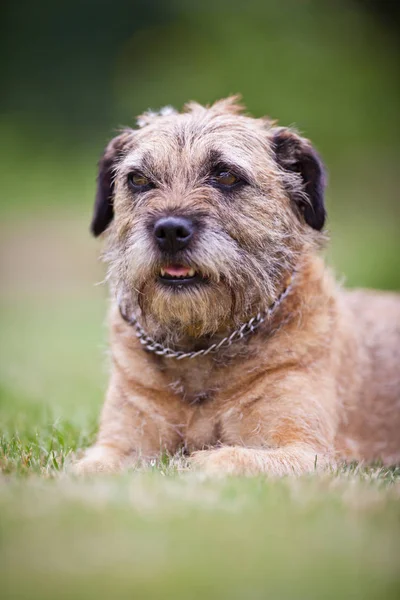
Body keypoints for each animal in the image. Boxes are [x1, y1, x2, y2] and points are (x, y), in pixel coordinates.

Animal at [73, 96, 398, 476]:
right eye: (138, 179)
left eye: (226, 175)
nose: (169, 230)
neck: (198, 346)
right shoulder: (118, 444)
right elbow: (88, 468)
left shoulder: (307, 453)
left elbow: (220, 457)